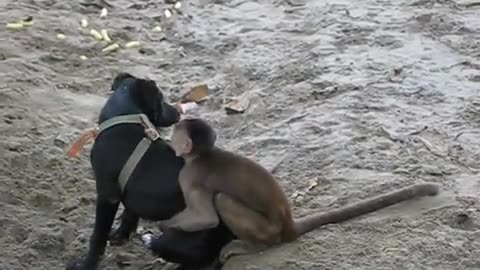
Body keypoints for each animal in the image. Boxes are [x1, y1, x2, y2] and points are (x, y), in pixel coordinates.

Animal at [66, 73, 233, 270]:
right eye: (160, 99)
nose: (178, 112)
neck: (123, 118)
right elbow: (129, 214)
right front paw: (121, 235)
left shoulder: (108, 196)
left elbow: (98, 235)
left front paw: (87, 263)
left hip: (177, 237)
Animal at [158, 118, 438, 262]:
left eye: (176, 133)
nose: (170, 134)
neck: (203, 155)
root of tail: (287, 224)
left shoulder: (187, 176)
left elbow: (205, 218)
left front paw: (165, 227)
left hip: (267, 230)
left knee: (223, 200)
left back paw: (253, 246)